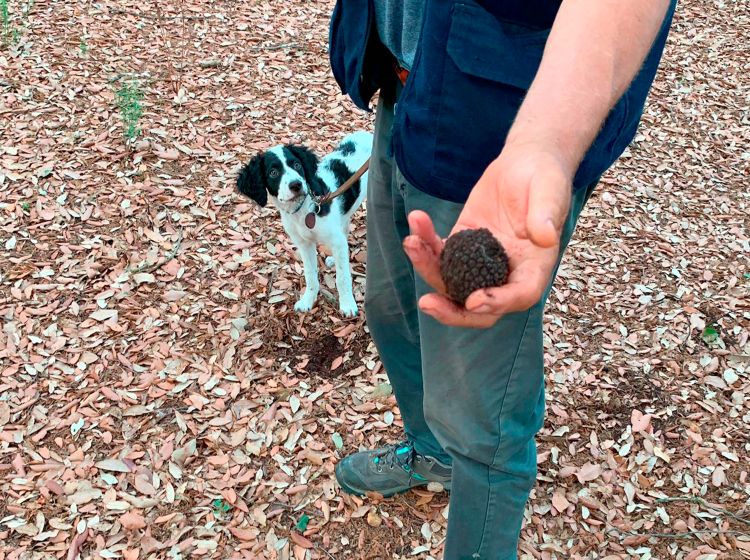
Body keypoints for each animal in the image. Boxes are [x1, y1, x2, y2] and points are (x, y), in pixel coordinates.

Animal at [238, 129, 374, 318]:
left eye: (296, 165)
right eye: (273, 172)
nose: (296, 184)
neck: (303, 210)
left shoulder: (335, 240)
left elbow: (342, 277)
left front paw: (347, 304)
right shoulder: (304, 244)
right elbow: (310, 274)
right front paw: (308, 300)